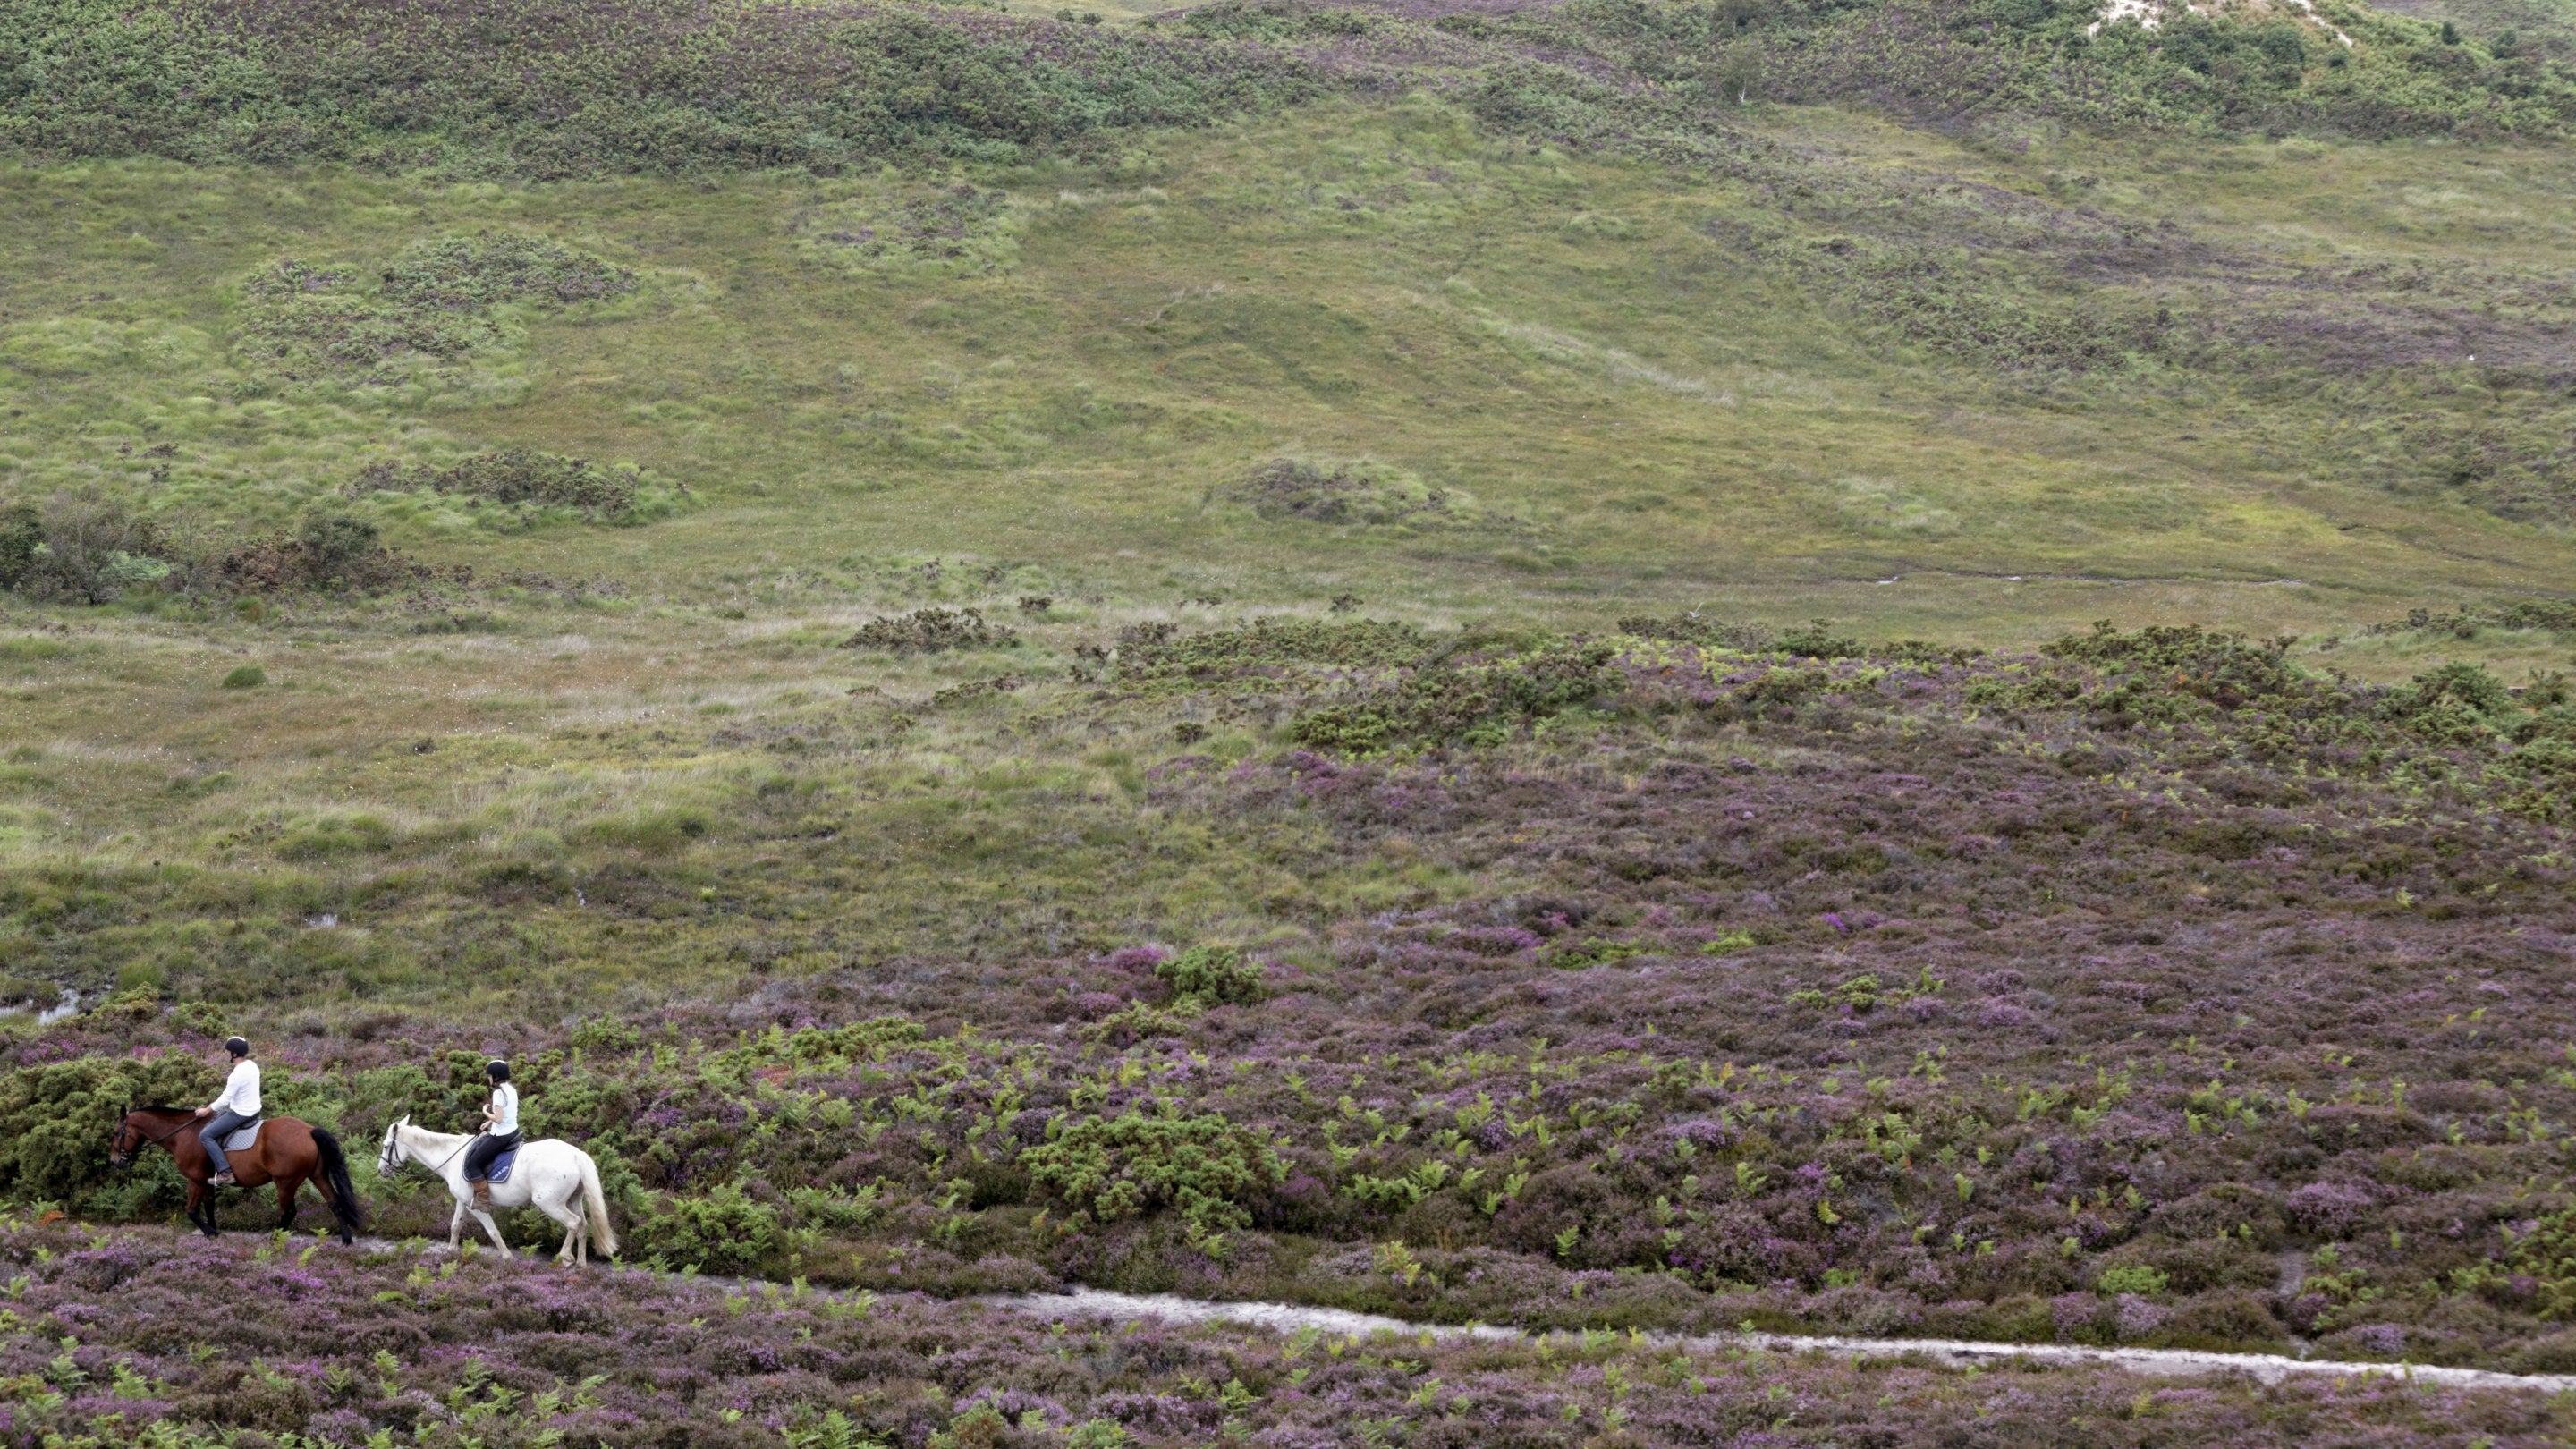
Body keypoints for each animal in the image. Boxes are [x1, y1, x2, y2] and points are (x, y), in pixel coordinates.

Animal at [108, 1106, 365, 1244]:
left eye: (117, 1133)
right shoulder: (207, 1182)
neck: (185, 1134)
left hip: (285, 1183)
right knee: (335, 1202)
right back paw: (346, 1239)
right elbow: (209, 1207)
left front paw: (210, 1232)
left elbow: (191, 1210)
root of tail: (309, 1130)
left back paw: (275, 1238)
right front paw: (214, 1232)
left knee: (289, 1211)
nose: (115, 1161)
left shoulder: (195, 1180)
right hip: (317, 1175)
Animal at [375, 1118, 618, 1265]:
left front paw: (508, 1258)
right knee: (583, 1225)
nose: (381, 1171)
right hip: (573, 1200)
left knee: (573, 1223)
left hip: (550, 1204)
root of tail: (576, 1155)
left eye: (386, 1146)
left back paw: (564, 1257)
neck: (453, 1157)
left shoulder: (478, 1208)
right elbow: (455, 1225)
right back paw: (582, 1264)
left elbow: (493, 1232)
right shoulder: (463, 1201)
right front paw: (451, 1253)